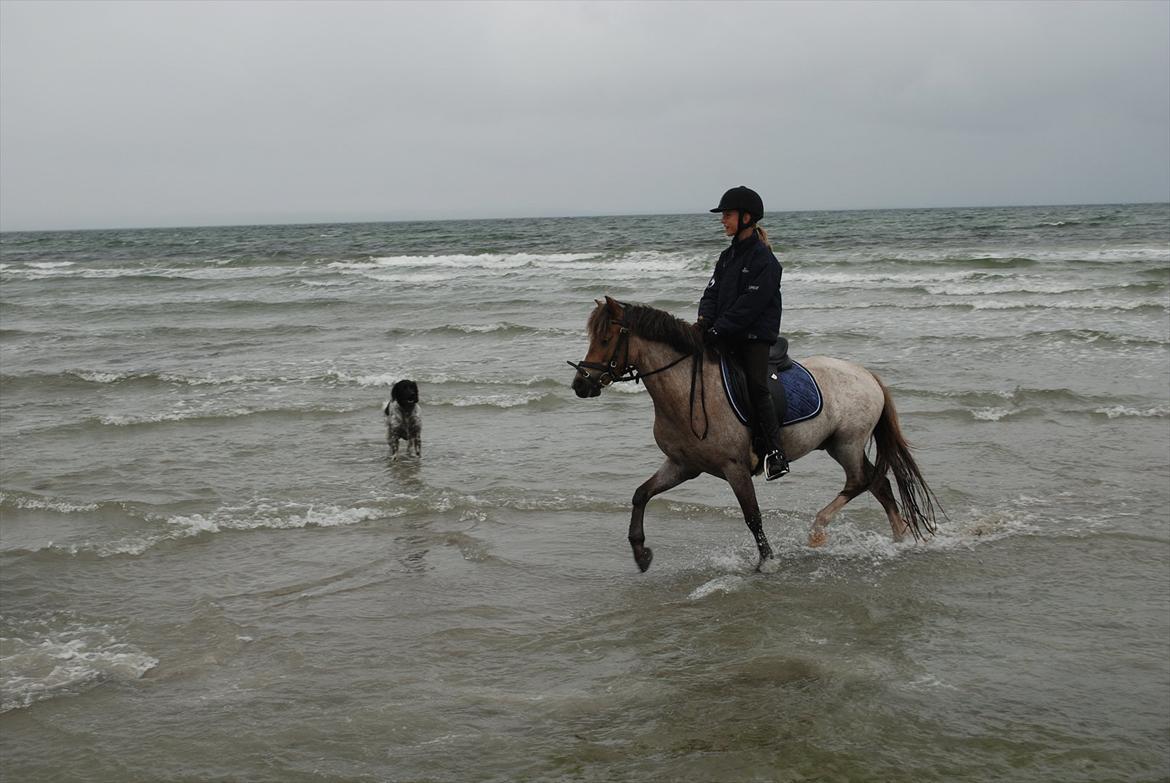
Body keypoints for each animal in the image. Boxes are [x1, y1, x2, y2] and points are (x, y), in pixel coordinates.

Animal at [568, 296, 940, 571]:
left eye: (605, 339)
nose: (580, 385)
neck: (686, 390)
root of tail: (866, 374)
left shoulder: (734, 468)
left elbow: (752, 516)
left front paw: (768, 562)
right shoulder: (683, 465)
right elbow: (640, 494)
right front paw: (641, 552)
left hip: (847, 443)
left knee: (860, 481)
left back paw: (819, 530)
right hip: (839, 445)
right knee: (879, 483)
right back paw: (898, 539)